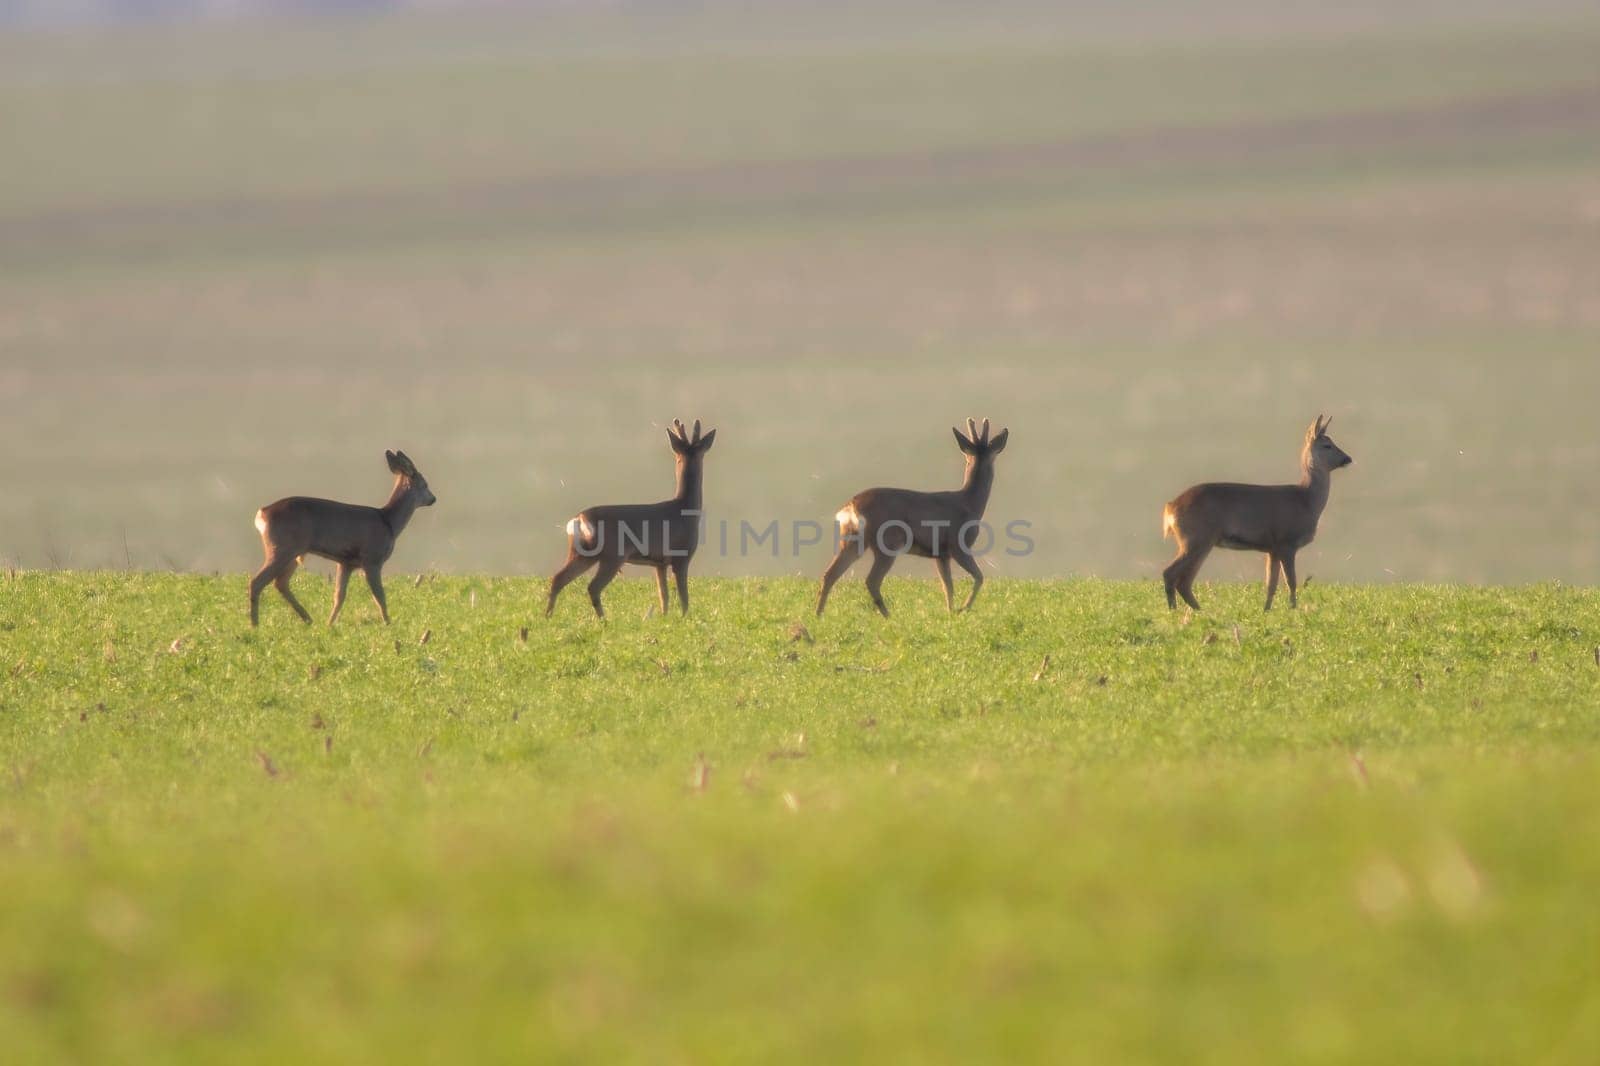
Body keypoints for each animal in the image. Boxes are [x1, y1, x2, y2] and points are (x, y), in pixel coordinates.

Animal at [244, 444, 435, 624]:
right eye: (425, 484)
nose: (433, 499)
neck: (389, 522)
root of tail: (262, 513)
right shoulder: (372, 558)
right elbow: (379, 596)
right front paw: (388, 623)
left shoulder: (345, 562)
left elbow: (339, 596)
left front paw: (330, 623)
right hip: (282, 547)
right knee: (257, 581)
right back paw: (255, 624)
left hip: (293, 551)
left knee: (280, 583)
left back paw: (308, 619)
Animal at [547, 412, 716, 614]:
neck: (684, 509)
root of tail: (578, 519)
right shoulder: (681, 556)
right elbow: (684, 598)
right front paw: (684, 618)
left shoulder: (659, 563)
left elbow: (663, 596)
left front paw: (664, 617)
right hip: (612, 554)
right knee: (592, 587)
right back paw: (604, 619)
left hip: (582, 551)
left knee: (558, 579)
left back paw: (547, 616)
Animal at [819, 416, 1004, 614]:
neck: (970, 503)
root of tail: (850, 506)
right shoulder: (958, 545)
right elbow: (979, 577)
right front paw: (963, 609)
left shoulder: (941, 553)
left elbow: (948, 586)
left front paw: (951, 612)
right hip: (886, 542)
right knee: (871, 580)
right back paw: (888, 616)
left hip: (852, 539)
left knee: (830, 574)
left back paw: (818, 615)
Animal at [1164, 416, 1350, 614]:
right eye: (1327, 445)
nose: (1348, 458)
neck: (1306, 500)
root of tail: (1170, 507)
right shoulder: (1287, 543)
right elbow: (1291, 582)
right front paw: (1293, 610)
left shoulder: (1272, 549)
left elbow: (1271, 584)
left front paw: (1266, 611)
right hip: (1196, 538)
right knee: (1172, 574)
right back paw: (1180, 610)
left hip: (1198, 540)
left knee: (1183, 580)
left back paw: (1195, 610)